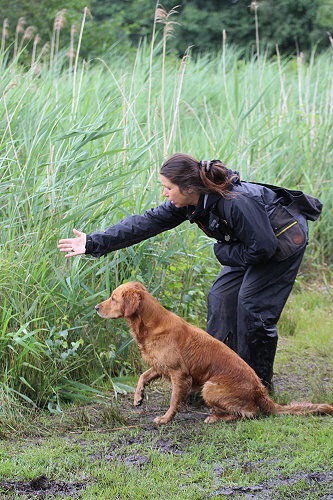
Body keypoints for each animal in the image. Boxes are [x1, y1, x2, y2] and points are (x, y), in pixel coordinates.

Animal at [94, 284, 332, 424]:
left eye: (113, 298)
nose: (96, 307)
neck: (151, 324)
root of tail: (261, 392)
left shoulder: (179, 373)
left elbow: (173, 400)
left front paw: (165, 418)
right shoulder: (160, 366)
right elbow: (142, 376)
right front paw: (138, 397)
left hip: (209, 388)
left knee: (249, 412)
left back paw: (216, 417)